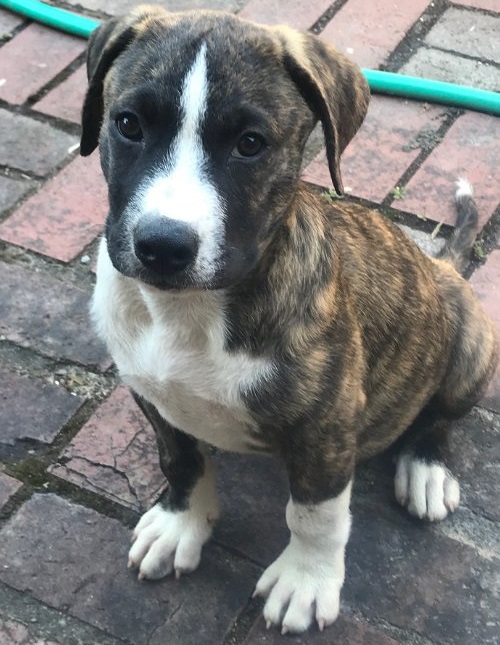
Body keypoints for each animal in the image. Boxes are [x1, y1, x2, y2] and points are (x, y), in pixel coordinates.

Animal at [80, 6, 498, 632]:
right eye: (128, 124)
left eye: (250, 144)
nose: (162, 246)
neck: (191, 310)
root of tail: (442, 266)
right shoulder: (151, 394)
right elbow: (180, 460)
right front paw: (181, 524)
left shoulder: (324, 431)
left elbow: (314, 517)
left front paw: (306, 581)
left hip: (471, 344)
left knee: (441, 418)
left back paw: (425, 469)